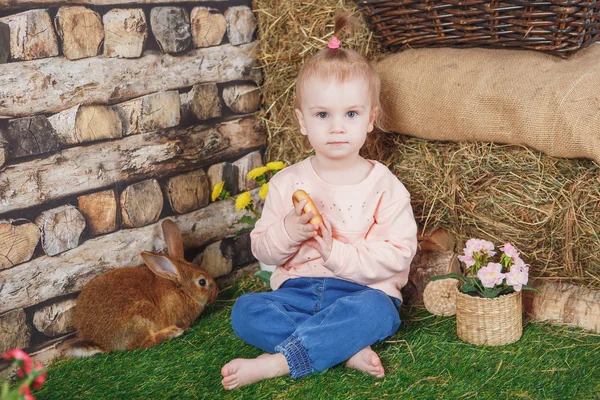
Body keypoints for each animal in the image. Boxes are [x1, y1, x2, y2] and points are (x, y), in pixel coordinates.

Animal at [62, 220, 218, 358]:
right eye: (202, 282)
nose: (216, 292)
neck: (182, 290)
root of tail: (98, 342)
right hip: (141, 318)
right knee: (143, 344)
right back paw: (172, 332)